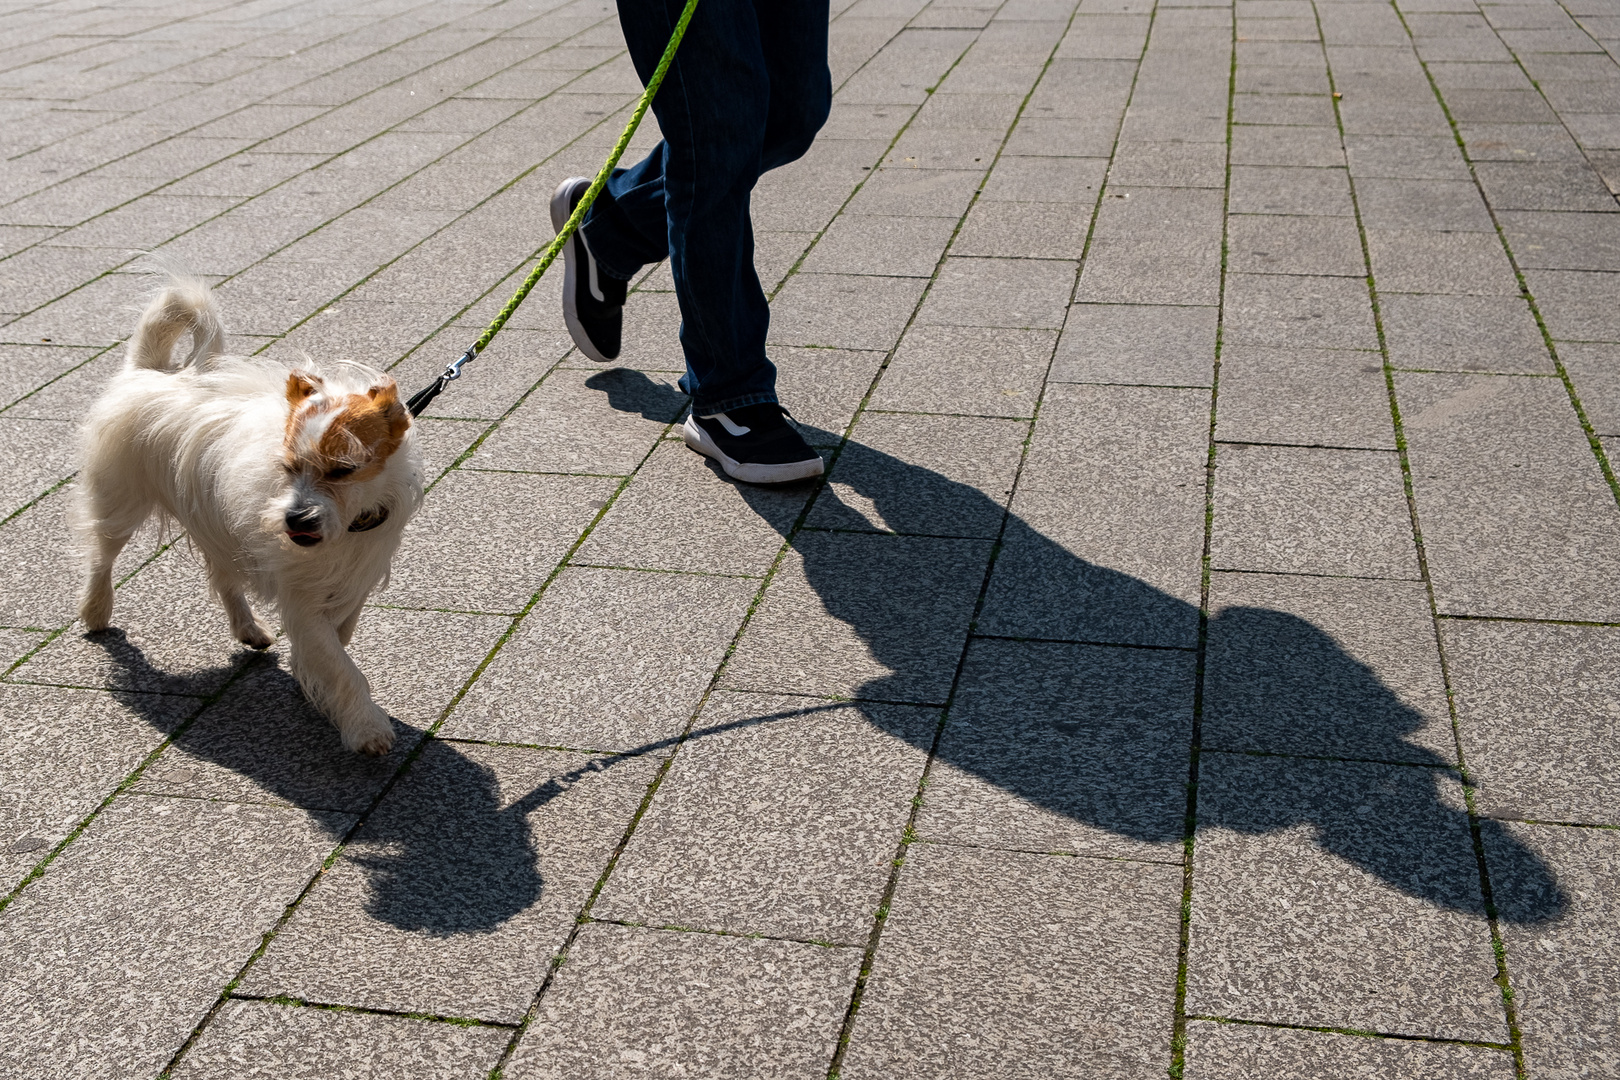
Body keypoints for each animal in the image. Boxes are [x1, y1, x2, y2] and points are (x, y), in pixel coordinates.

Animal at [74, 275, 424, 757]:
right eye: (289, 467)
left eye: (343, 470)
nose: (294, 520)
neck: (348, 528)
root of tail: (146, 372)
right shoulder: (301, 599)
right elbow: (341, 665)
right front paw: (366, 725)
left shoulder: (354, 581)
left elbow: (338, 641)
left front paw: (311, 681)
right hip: (120, 503)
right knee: (101, 555)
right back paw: (95, 609)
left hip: (214, 521)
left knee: (223, 577)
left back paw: (248, 628)